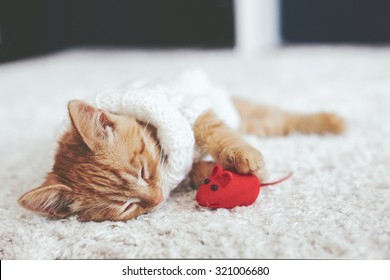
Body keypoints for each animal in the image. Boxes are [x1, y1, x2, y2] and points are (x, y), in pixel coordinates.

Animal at [18, 99, 344, 222]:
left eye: (143, 171)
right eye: (127, 207)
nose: (157, 199)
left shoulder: (193, 110)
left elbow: (214, 131)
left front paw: (243, 156)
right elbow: (196, 170)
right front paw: (211, 173)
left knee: (280, 116)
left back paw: (331, 121)